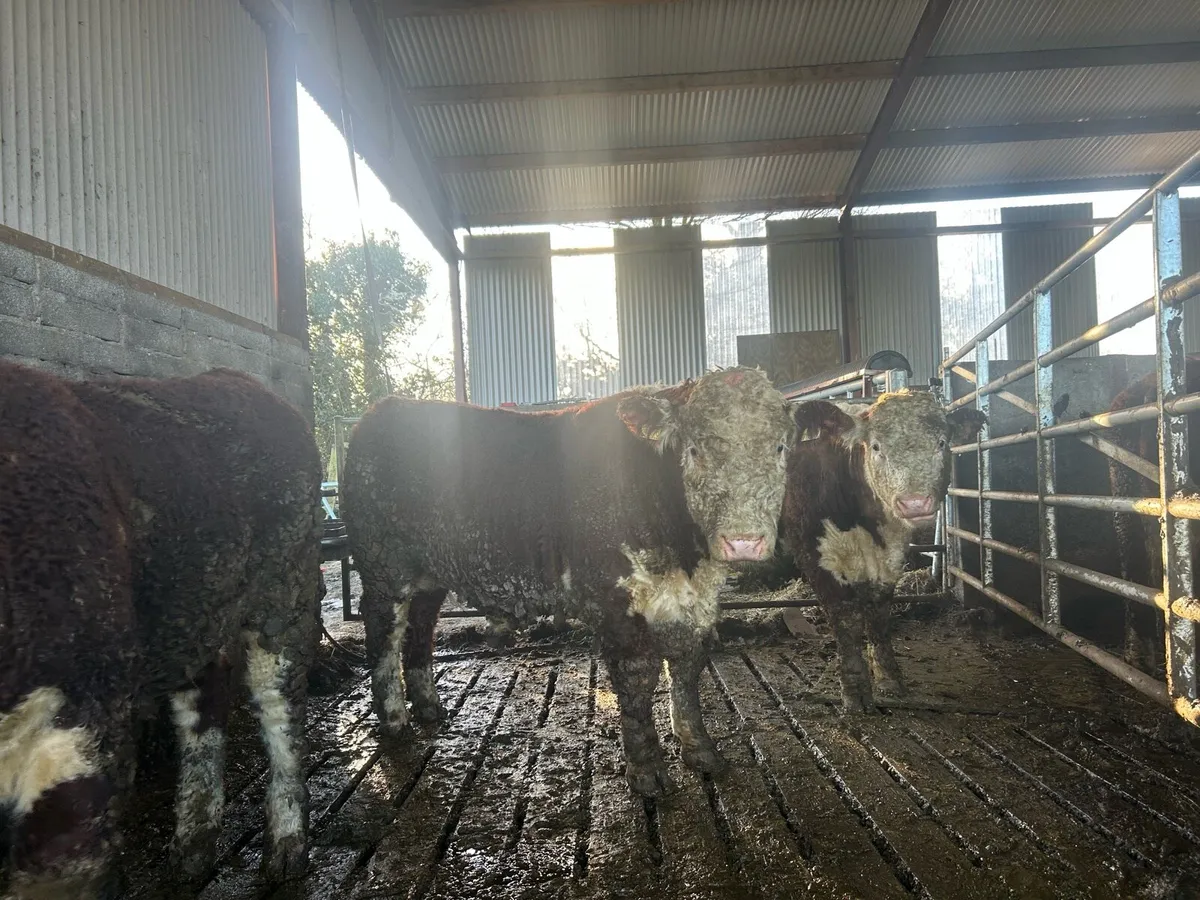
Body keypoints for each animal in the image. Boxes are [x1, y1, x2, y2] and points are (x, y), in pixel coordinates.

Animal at [0, 361, 322, 897]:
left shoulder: (90, 711)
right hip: (198, 607)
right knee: (205, 702)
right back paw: (191, 852)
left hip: (283, 591)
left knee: (280, 705)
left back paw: (286, 849)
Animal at [341, 367, 796, 796]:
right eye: (694, 450)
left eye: (779, 447)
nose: (744, 541)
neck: (684, 554)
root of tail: (383, 411)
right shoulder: (612, 594)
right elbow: (637, 674)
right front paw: (646, 770)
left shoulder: (694, 598)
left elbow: (688, 666)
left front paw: (701, 749)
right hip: (383, 566)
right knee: (384, 634)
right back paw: (395, 720)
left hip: (429, 573)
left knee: (421, 628)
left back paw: (429, 707)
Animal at [780, 390, 985, 711]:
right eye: (876, 446)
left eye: (942, 442)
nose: (915, 503)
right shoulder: (815, 552)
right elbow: (846, 617)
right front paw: (854, 690)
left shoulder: (891, 554)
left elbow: (878, 613)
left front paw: (888, 679)